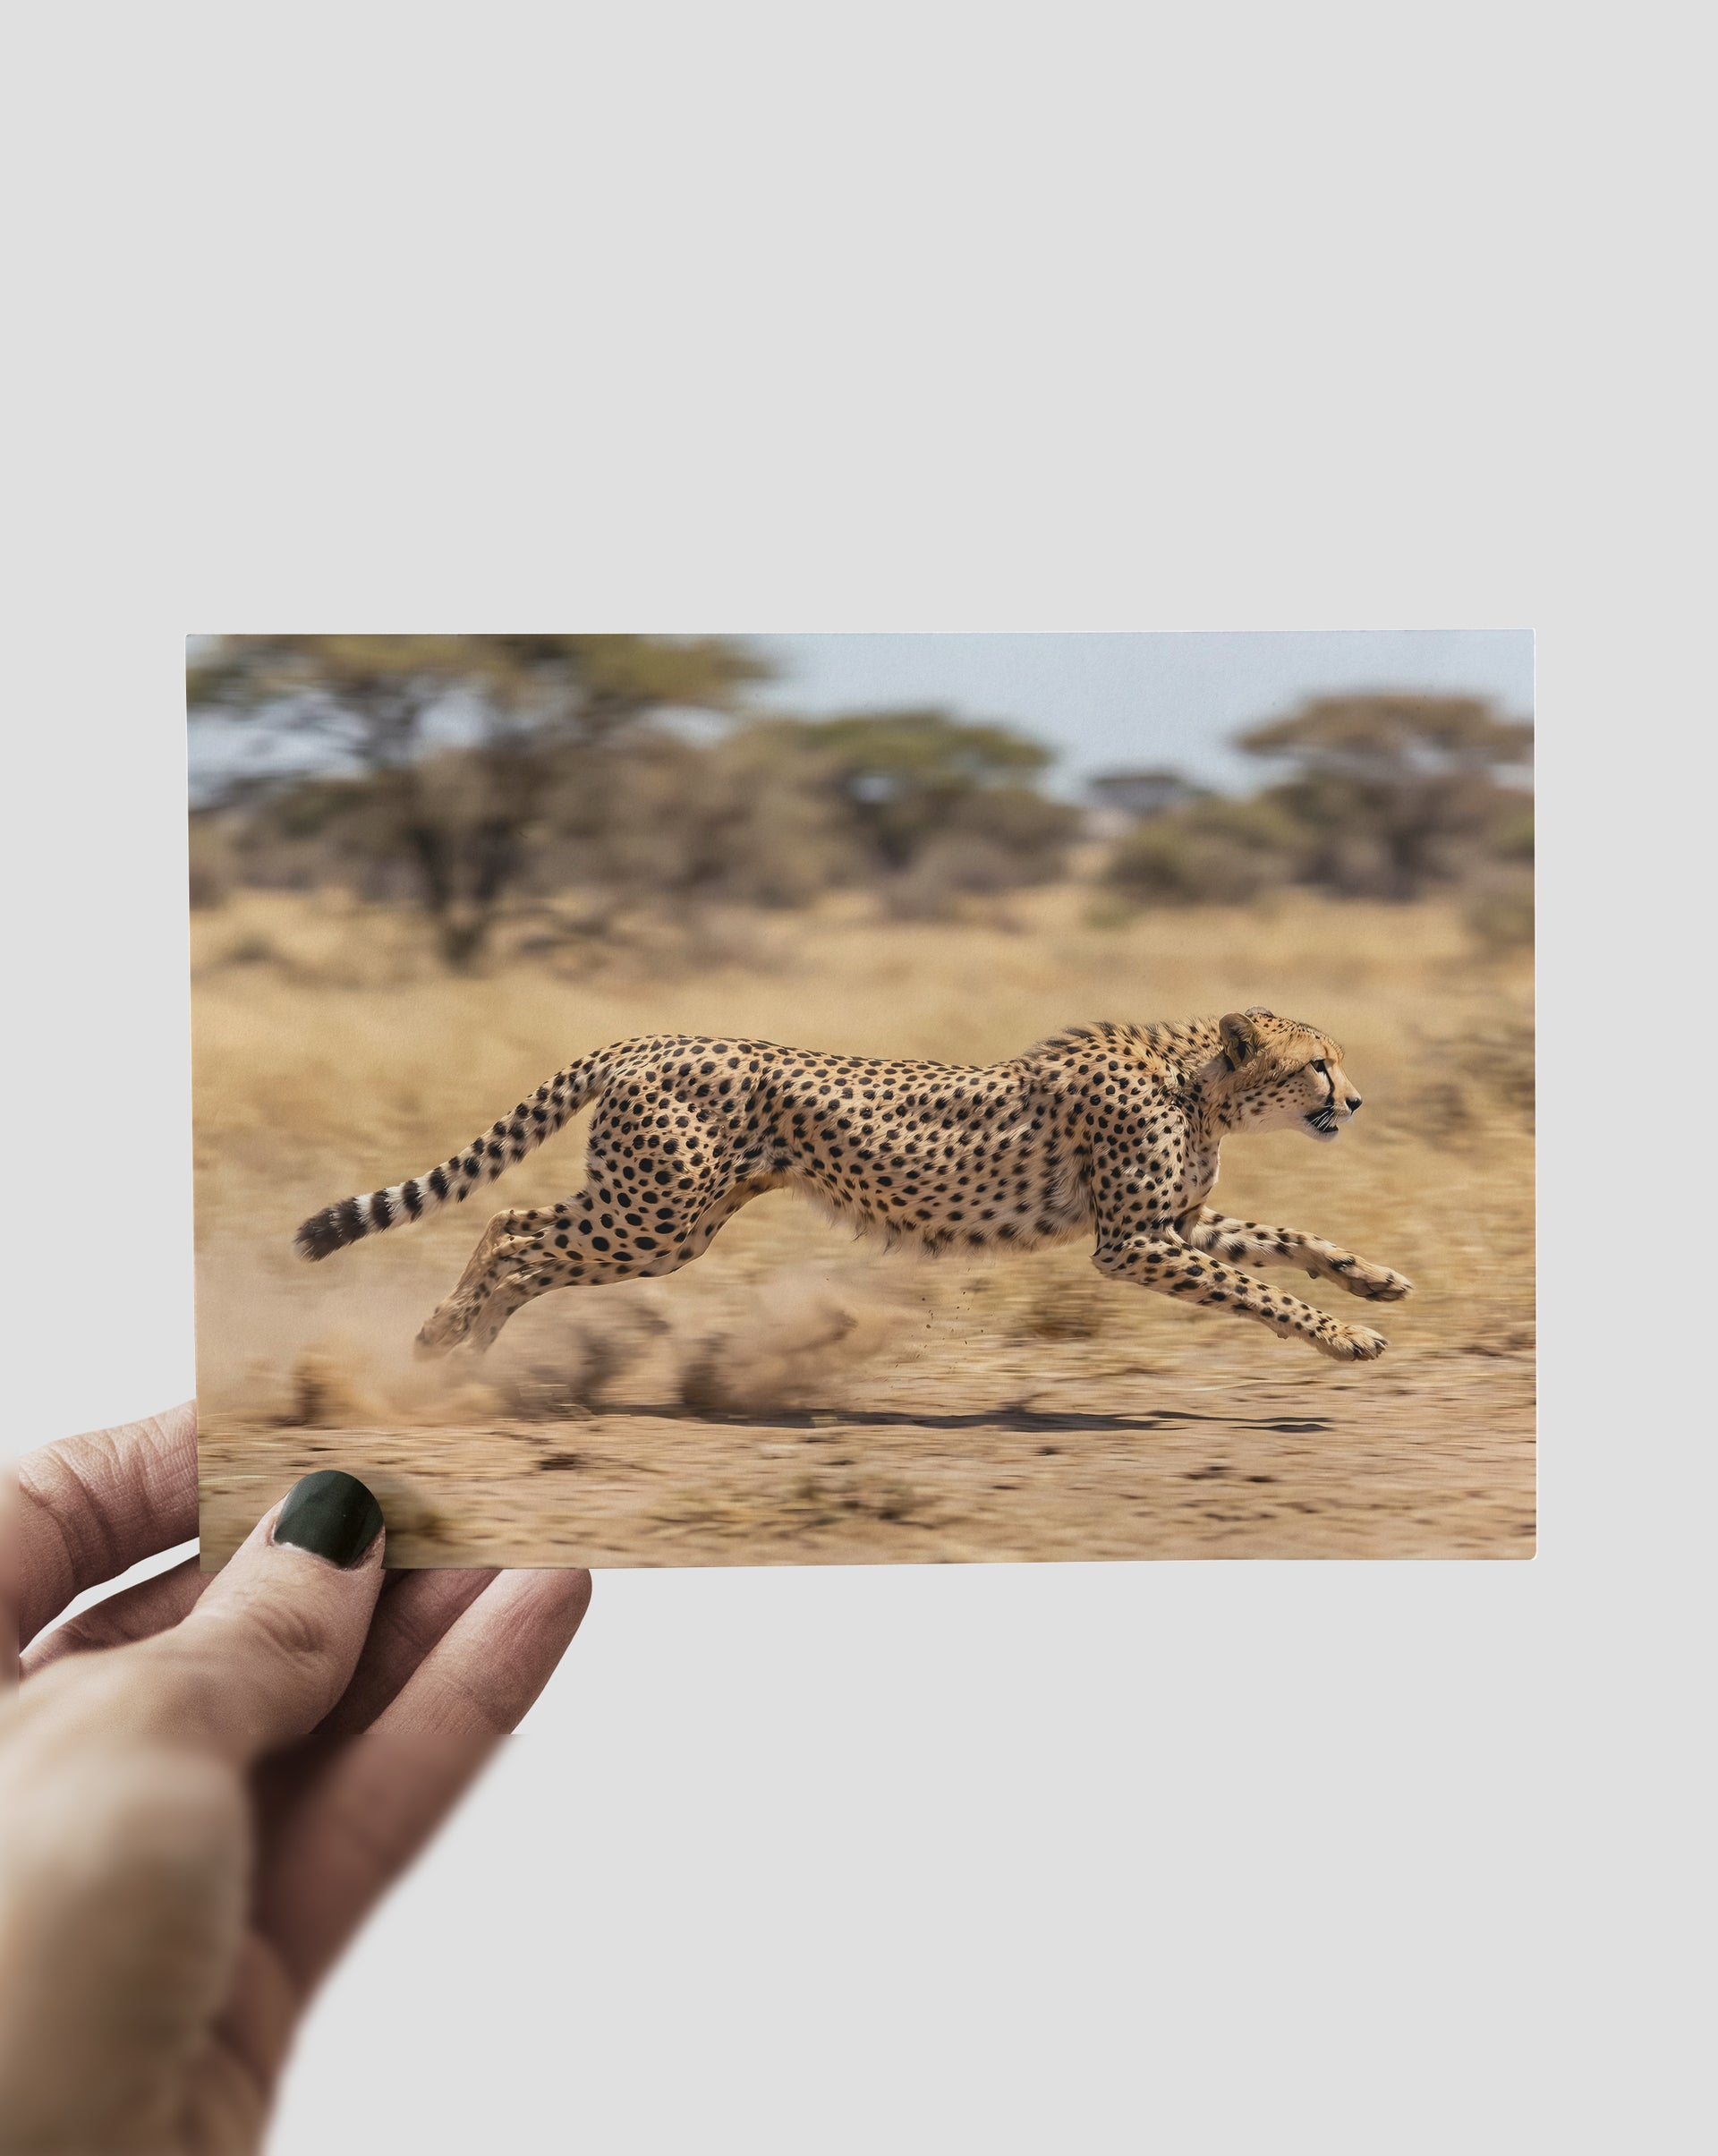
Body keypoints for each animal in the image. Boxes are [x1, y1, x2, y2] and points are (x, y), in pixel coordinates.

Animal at [294, 1006, 1413, 1364]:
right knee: (520, 1232)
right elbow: (1258, 1287)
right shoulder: (1133, 1241)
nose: (1357, 1102)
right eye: (1320, 1065)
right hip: (657, 1218)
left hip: (655, 1208)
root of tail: (655, 1038)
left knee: (518, 1224)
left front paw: (1374, 1282)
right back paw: (448, 1333)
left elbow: (1286, 1240)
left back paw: (464, 1341)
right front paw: (1344, 1338)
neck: (1199, 1087)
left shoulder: (1175, 1222)